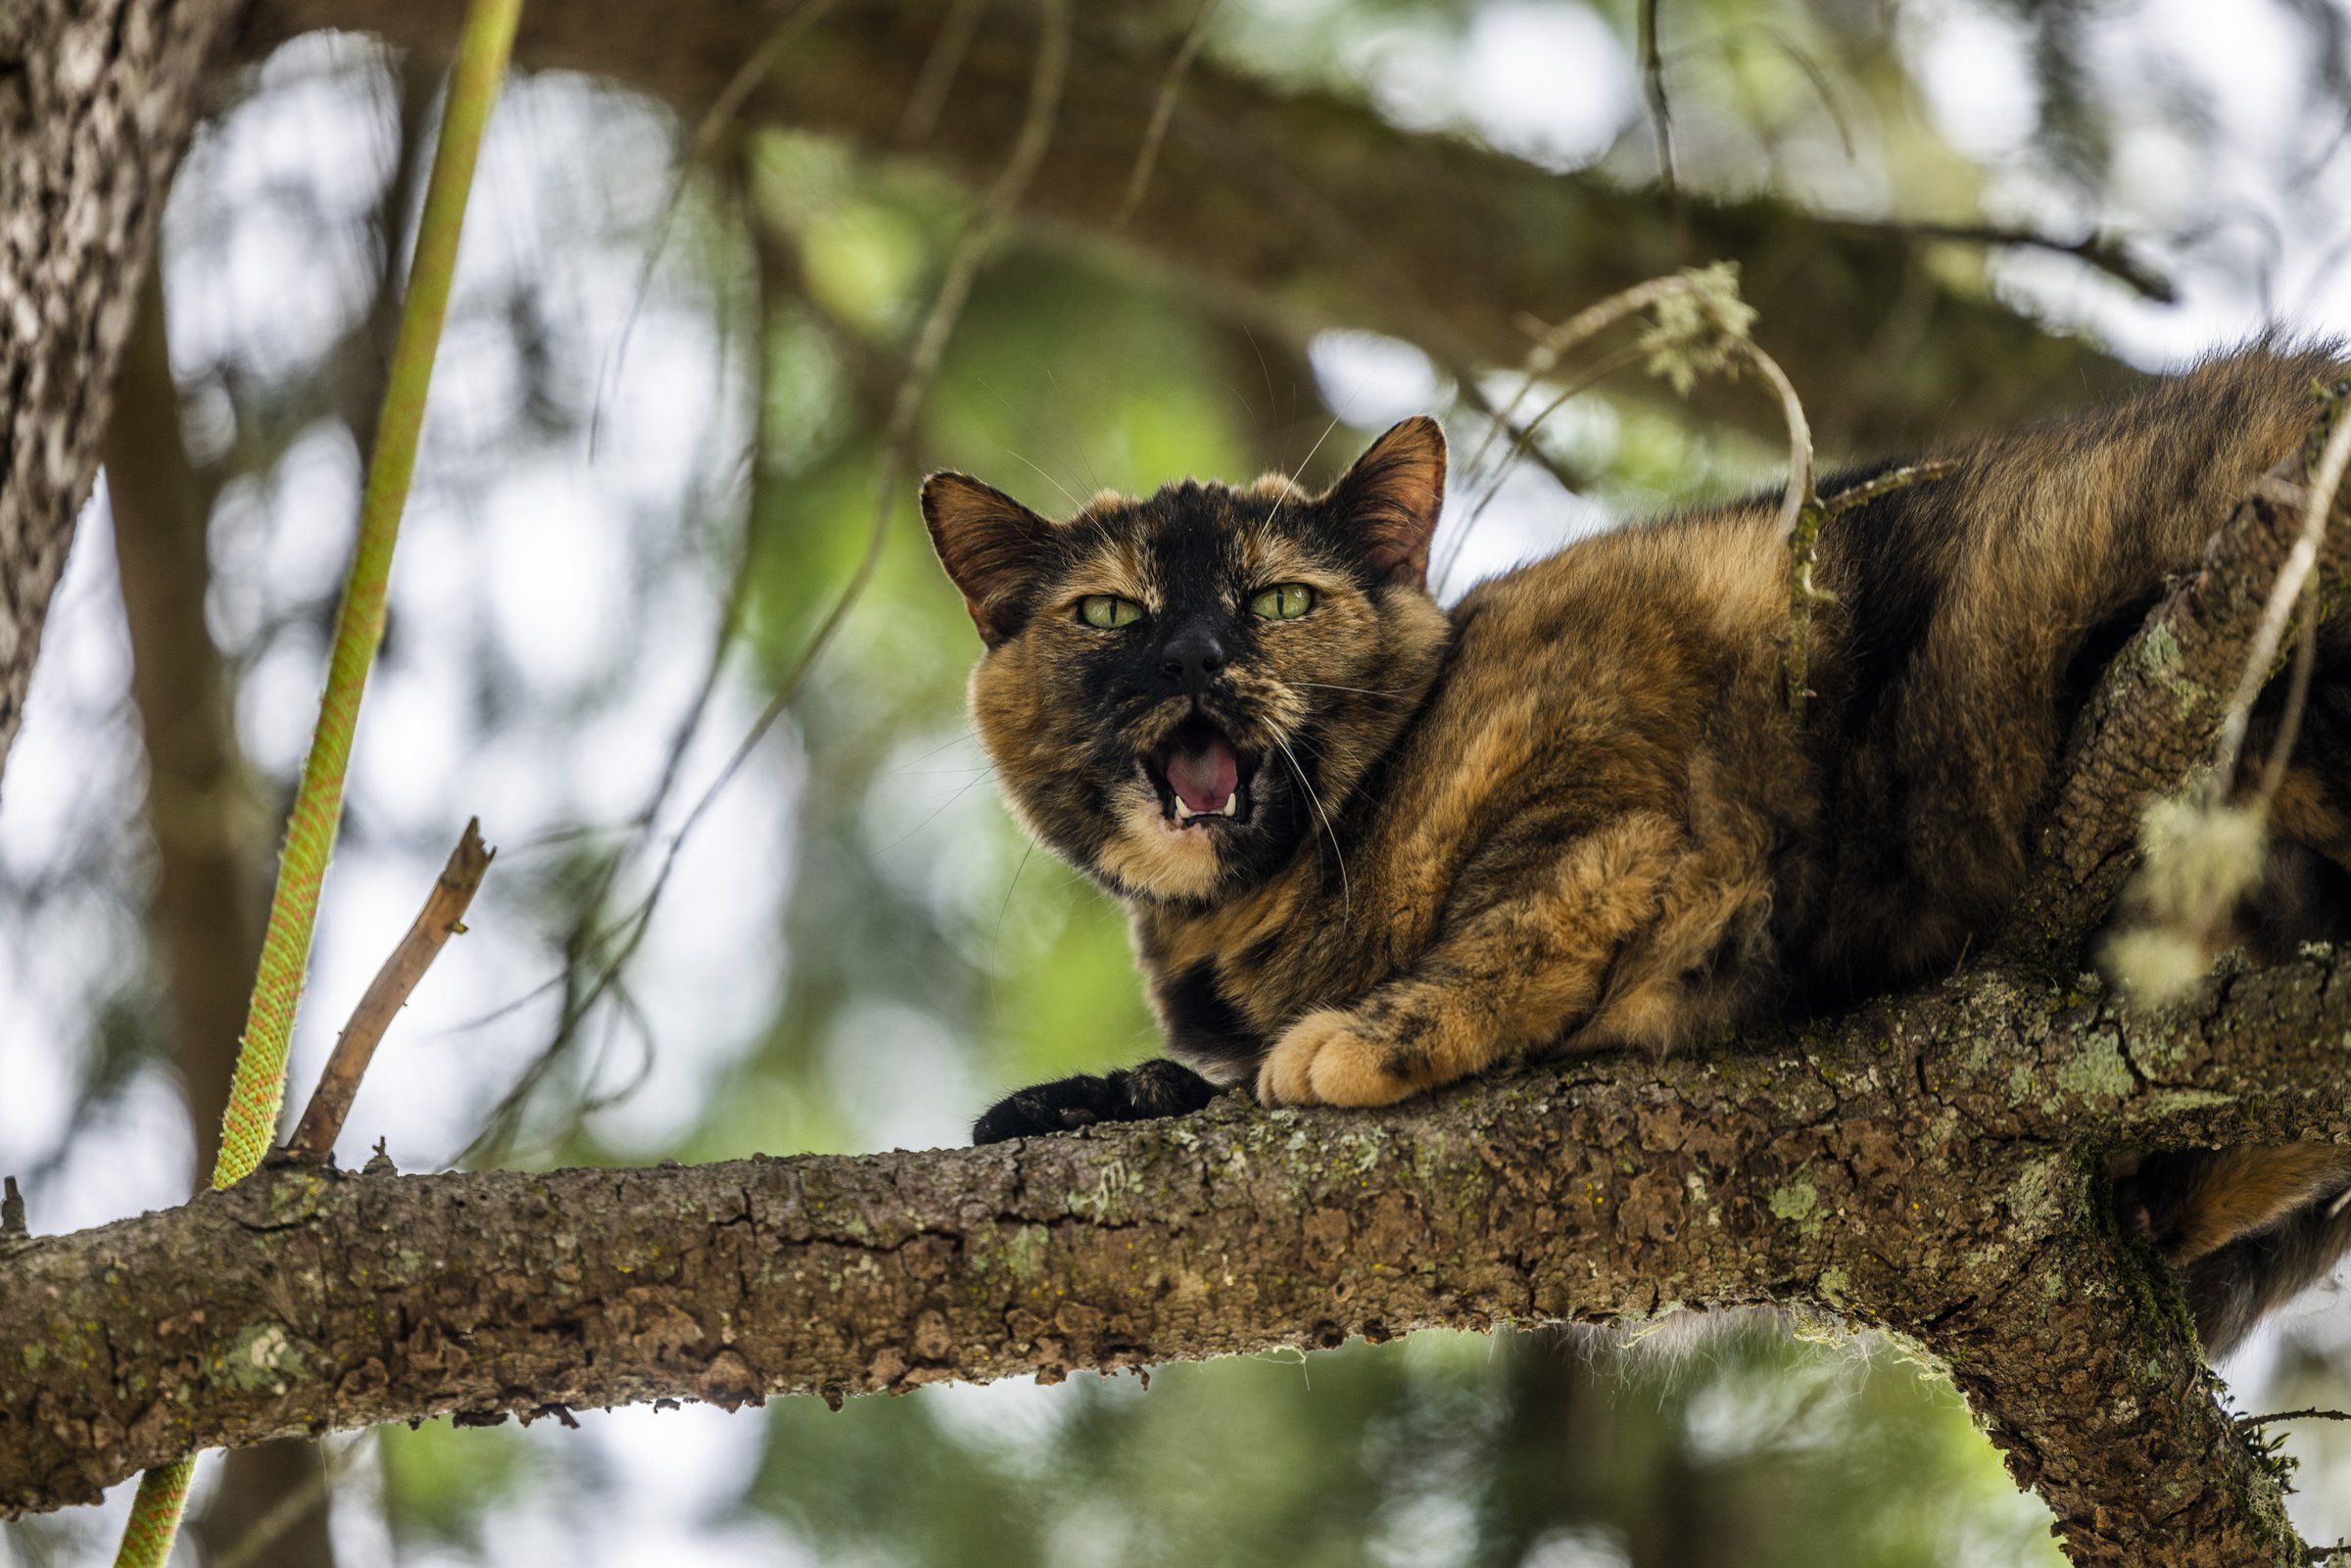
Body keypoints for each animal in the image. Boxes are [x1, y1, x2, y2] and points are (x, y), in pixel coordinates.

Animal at [926, 350, 2351, 1354]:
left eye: (1279, 599)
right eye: (1109, 613)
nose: (1194, 656)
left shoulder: (1629, 808)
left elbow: (1516, 921)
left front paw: (1350, 1040)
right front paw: (1073, 1104)